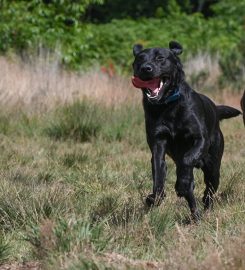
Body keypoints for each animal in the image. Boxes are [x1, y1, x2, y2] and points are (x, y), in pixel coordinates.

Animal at [131, 41, 240, 220]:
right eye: (139, 59)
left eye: (160, 58)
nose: (146, 68)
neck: (168, 105)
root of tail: (216, 109)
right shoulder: (158, 142)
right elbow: (158, 170)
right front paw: (155, 197)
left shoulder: (200, 139)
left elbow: (187, 159)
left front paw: (181, 183)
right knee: (191, 195)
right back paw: (195, 215)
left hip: (213, 167)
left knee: (209, 189)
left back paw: (204, 205)